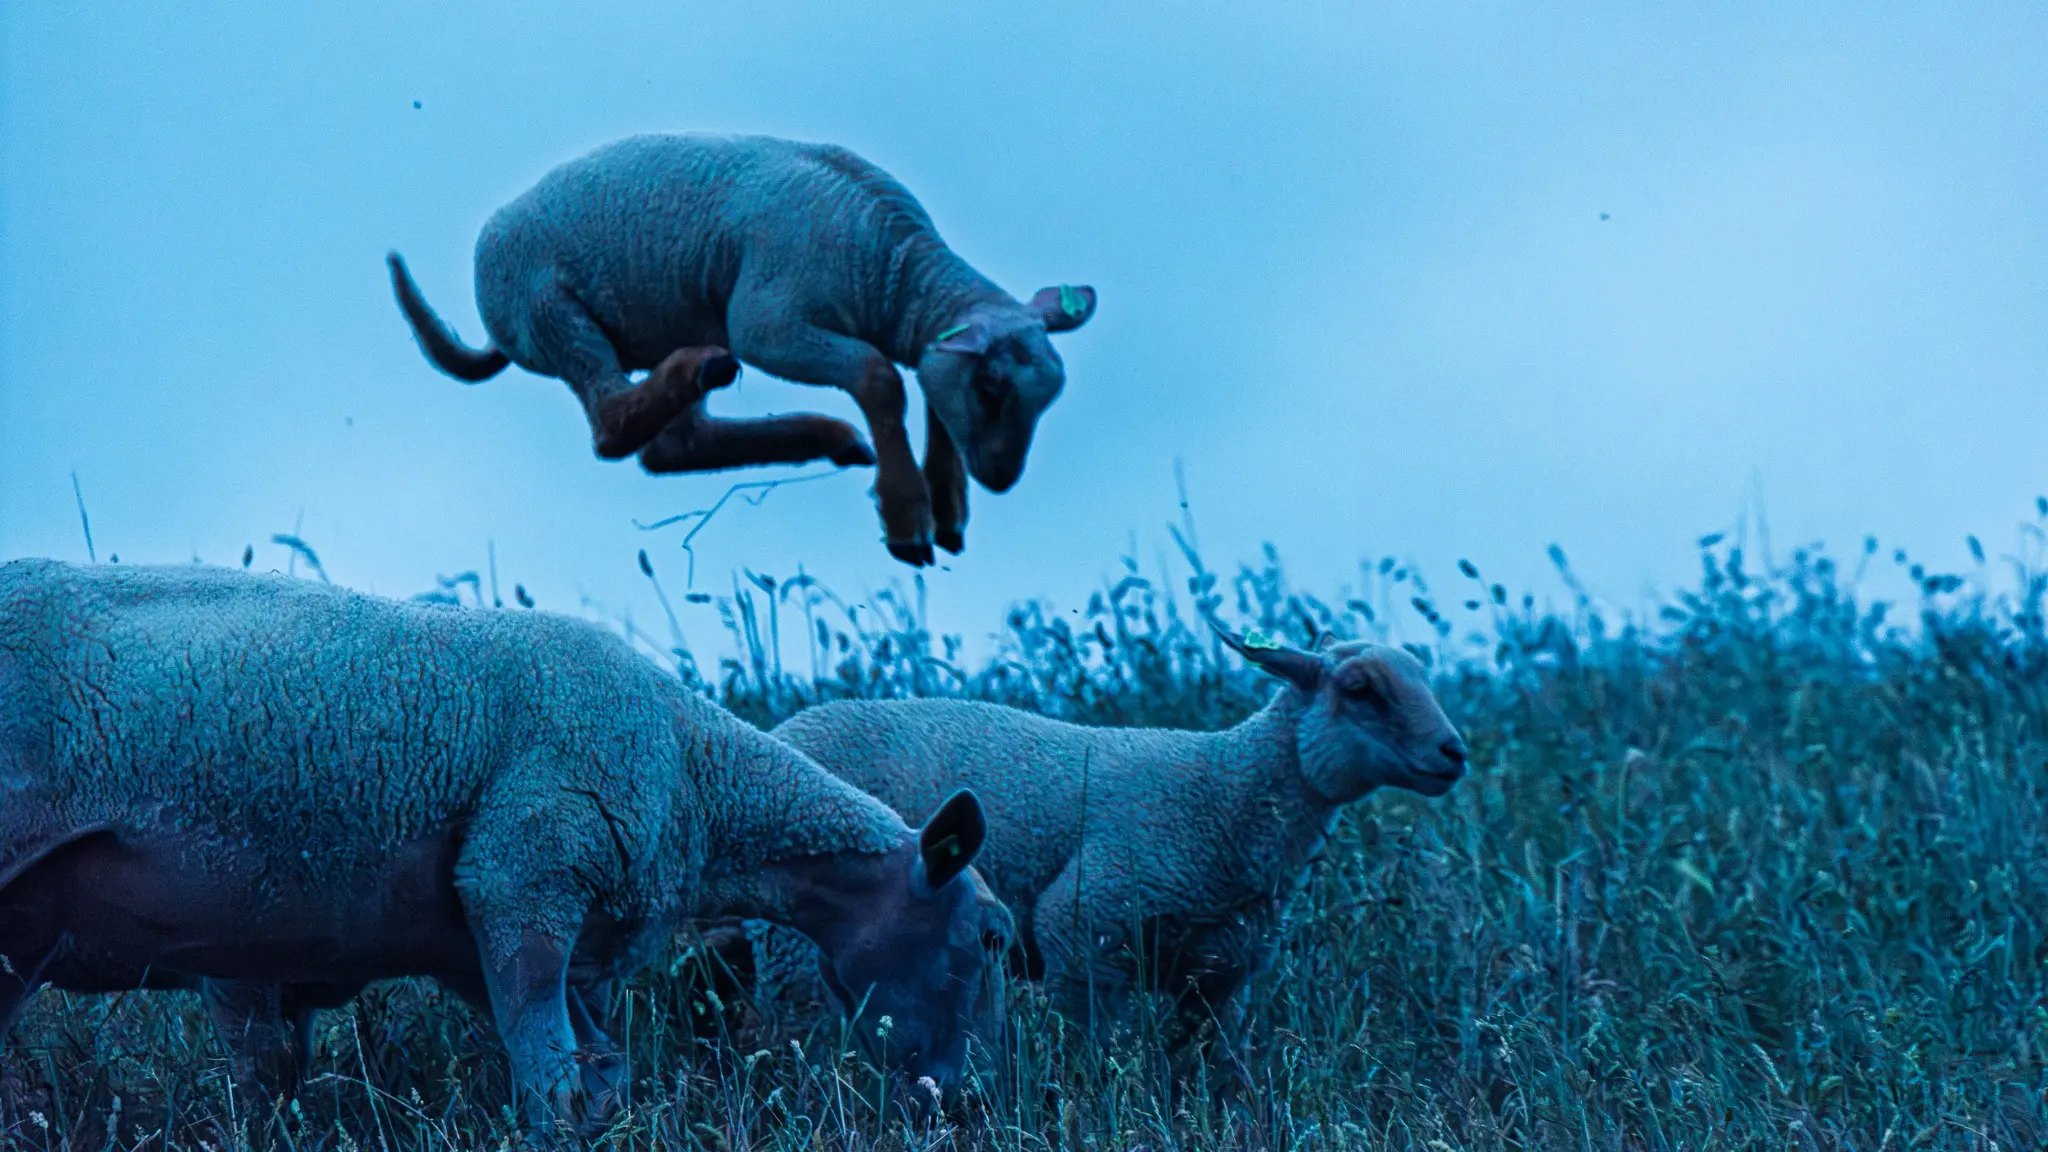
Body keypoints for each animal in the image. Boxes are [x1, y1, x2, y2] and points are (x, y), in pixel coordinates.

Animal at [0, 559, 1011, 1135]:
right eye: (990, 939)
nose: (959, 1102)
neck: (698, 772)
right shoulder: (522, 882)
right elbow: (551, 1084)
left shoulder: (483, 942)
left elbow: (598, 1078)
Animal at [387, 132, 1098, 566]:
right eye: (993, 388)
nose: (1001, 478)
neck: (892, 275)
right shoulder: (769, 321)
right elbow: (880, 377)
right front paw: (908, 518)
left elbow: (926, 380)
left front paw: (948, 508)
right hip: (552, 310)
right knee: (612, 425)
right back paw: (706, 373)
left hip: (667, 314)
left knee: (674, 448)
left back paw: (821, 434)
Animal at [734, 629, 1467, 1064]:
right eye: (1360, 689)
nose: (1454, 752)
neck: (1223, 794)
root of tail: (784, 729)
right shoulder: (1081, 935)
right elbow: (1089, 1056)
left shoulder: (1222, 980)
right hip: (794, 954)